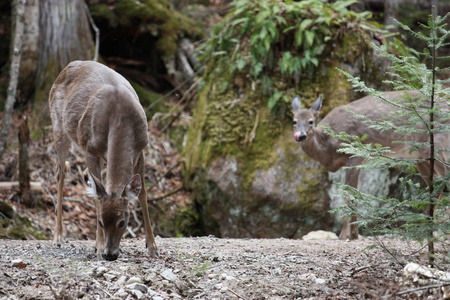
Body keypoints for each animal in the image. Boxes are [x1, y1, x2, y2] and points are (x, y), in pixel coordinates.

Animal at [49, 60, 157, 260]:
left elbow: (143, 193)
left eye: (122, 222)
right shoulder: (90, 148)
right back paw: (58, 237)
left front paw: (152, 245)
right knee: (61, 172)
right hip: (59, 125)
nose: (110, 255)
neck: (120, 115)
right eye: (100, 222)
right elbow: (98, 199)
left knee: (86, 178)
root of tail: (67, 66)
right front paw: (99, 246)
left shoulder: (140, 149)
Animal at [292, 90, 450, 240]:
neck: (328, 145)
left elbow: (351, 194)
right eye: (294, 121)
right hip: (420, 157)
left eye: (311, 121)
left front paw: (352, 235)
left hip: (431, 145)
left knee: (442, 177)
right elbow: (344, 194)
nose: (300, 136)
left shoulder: (355, 155)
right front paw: (345, 234)